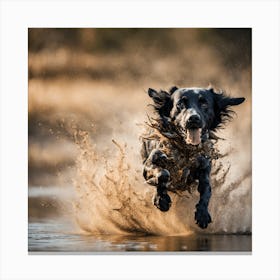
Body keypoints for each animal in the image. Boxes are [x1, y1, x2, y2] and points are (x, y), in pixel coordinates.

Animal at [141, 86, 244, 229]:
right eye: (180, 104)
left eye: (204, 103)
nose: (193, 118)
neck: (185, 150)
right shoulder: (148, 167)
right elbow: (163, 173)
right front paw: (161, 200)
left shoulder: (204, 169)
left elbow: (207, 190)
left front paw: (202, 214)